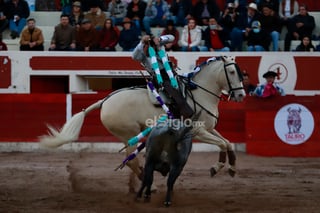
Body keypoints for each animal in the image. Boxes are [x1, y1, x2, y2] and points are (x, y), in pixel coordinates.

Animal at [39, 55, 245, 191]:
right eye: (232, 72)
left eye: (240, 72)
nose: (241, 95)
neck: (199, 93)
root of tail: (105, 100)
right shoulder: (198, 132)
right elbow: (222, 144)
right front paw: (217, 167)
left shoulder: (210, 129)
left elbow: (227, 143)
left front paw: (231, 168)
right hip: (128, 133)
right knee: (131, 158)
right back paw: (147, 185)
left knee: (132, 158)